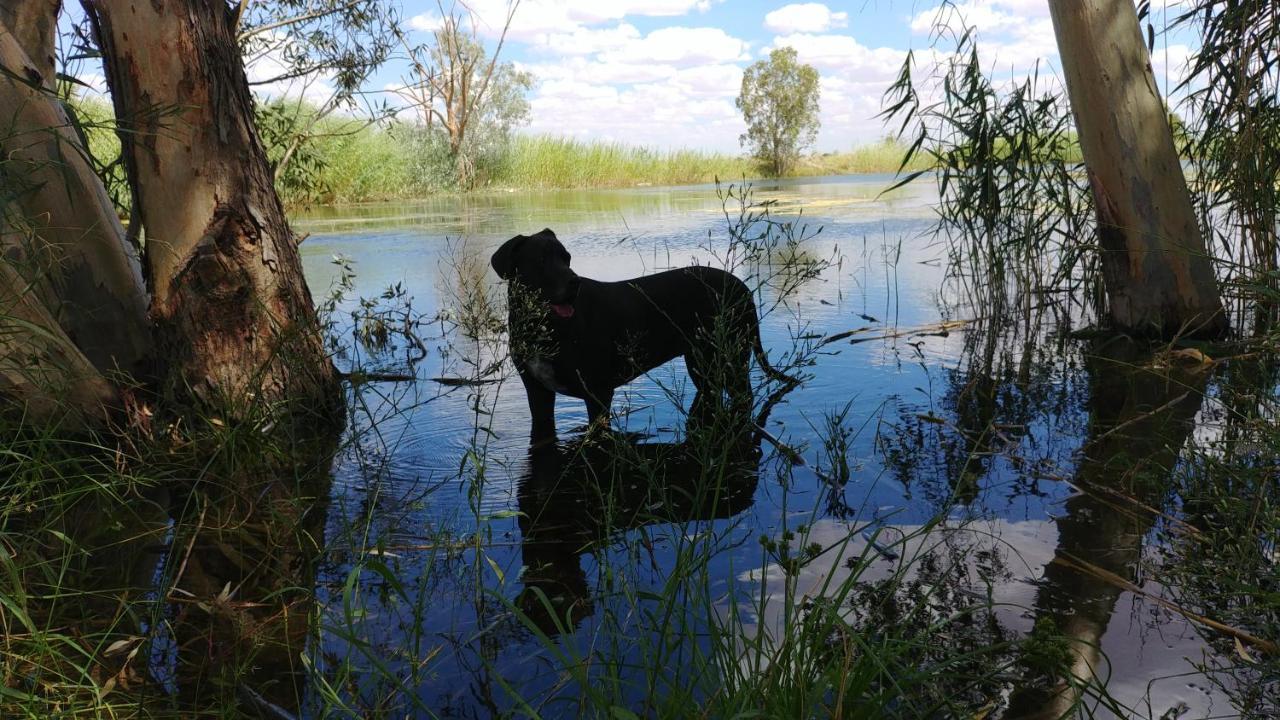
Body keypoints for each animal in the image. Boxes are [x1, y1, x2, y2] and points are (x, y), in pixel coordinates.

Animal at [486, 229, 788, 443]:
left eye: (567, 258)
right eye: (540, 261)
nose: (575, 282)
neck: (546, 327)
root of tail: (743, 288)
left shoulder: (598, 393)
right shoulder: (538, 392)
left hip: (732, 359)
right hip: (701, 363)